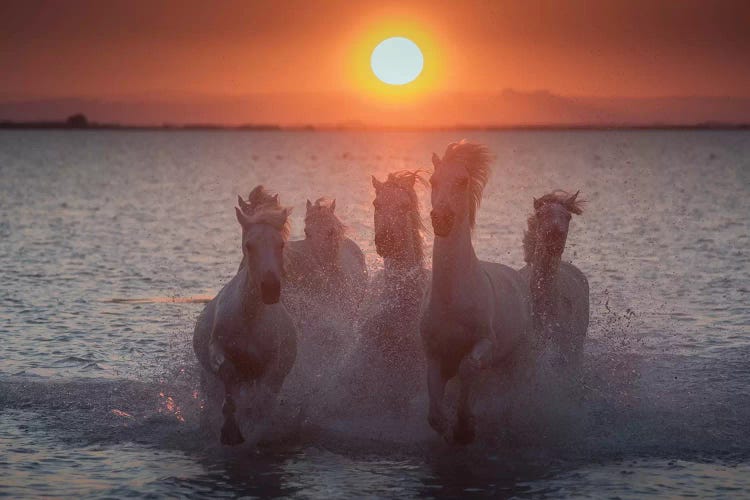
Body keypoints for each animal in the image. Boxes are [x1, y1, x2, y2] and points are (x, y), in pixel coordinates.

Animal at [194, 188, 296, 446]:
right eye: (249, 245)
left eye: (280, 244)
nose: (270, 289)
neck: (250, 318)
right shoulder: (218, 351)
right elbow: (227, 375)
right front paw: (230, 433)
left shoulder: (274, 369)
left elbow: (262, 402)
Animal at [424, 141, 536, 446]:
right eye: (432, 181)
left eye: (462, 181)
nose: (441, 219)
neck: (452, 298)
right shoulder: (433, 354)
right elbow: (434, 411)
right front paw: (449, 429)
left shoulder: (486, 341)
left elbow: (468, 367)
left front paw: (466, 428)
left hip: (518, 358)